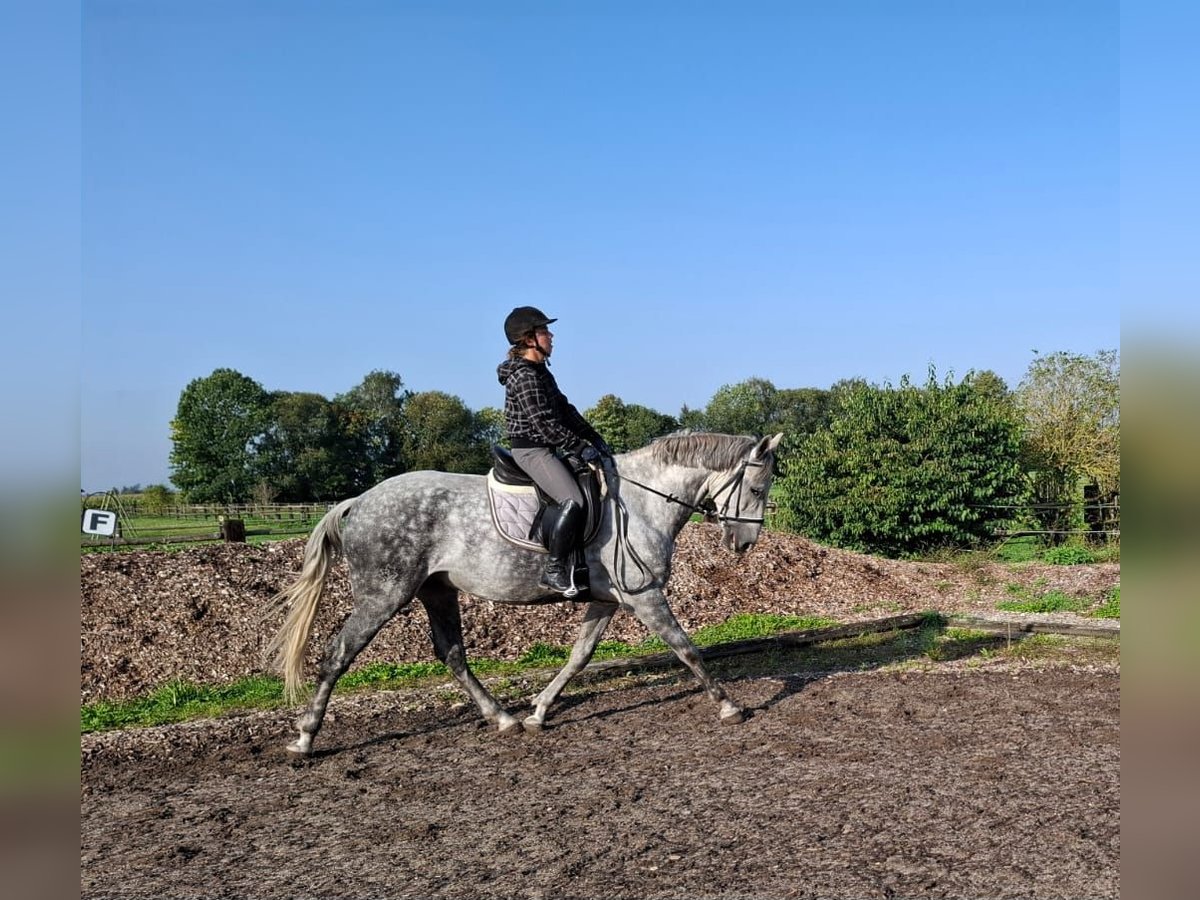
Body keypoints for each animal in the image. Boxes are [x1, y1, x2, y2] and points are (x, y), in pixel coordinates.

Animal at [266, 434, 782, 758]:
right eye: (757, 487)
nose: (744, 544)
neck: (642, 502)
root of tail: (360, 501)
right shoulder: (645, 596)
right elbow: (686, 648)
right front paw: (729, 705)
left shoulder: (609, 599)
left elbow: (579, 655)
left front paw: (538, 711)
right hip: (383, 594)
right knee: (339, 654)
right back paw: (305, 740)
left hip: (437, 591)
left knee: (452, 654)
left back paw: (503, 718)